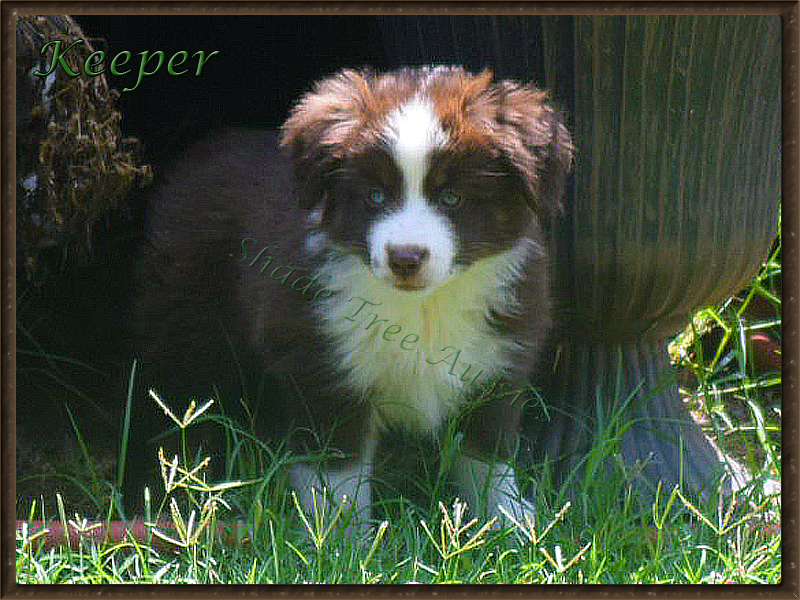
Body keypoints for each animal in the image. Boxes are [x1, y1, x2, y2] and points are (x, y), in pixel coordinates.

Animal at [138, 67, 572, 528]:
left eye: (453, 197)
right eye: (375, 196)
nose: (405, 257)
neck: (423, 307)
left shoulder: (499, 361)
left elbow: (487, 457)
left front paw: (513, 524)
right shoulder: (322, 365)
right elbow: (339, 475)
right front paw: (343, 537)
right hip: (183, 320)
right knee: (178, 399)